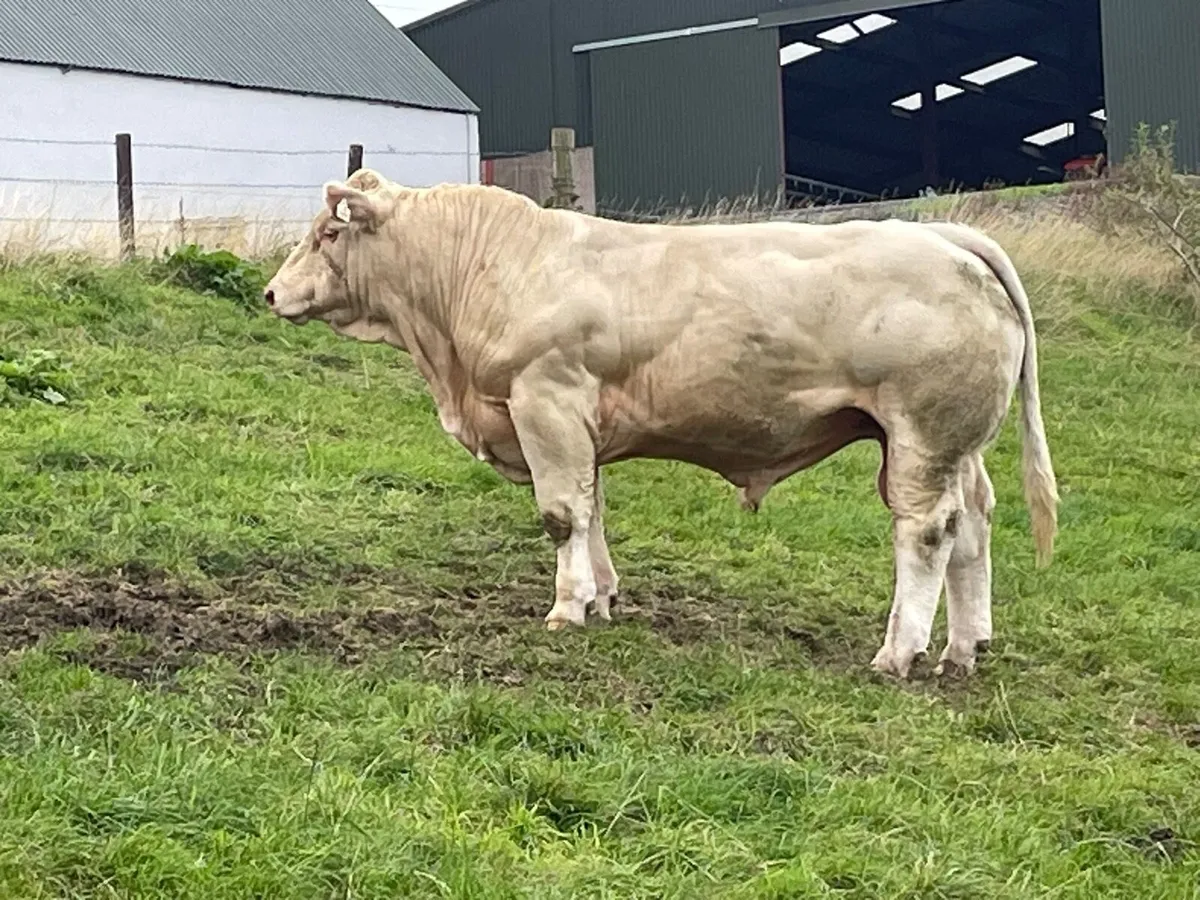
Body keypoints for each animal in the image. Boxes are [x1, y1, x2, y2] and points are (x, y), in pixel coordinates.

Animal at [262, 167, 1058, 680]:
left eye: (325, 235)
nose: (271, 292)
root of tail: (947, 238)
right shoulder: (577, 423)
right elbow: (592, 509)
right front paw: (603, 597)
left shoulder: (545, 399)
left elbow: (560, 513)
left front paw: (566, 608)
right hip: (955, 444)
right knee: (973, 528)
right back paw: (964, 648)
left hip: (923, 435)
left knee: (926, 533)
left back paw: (900, 654)